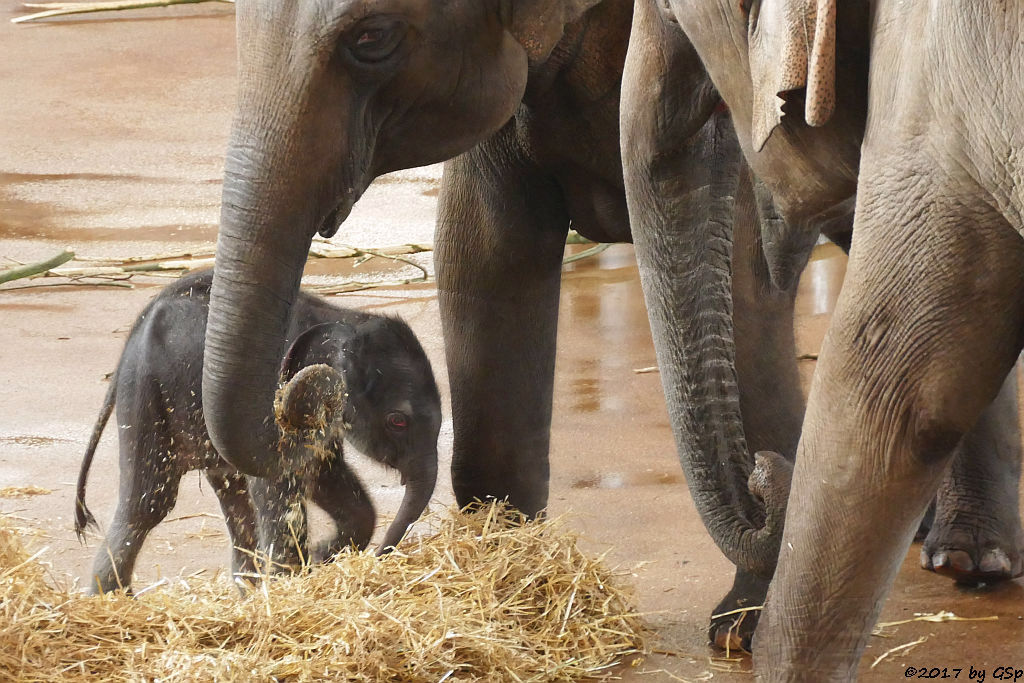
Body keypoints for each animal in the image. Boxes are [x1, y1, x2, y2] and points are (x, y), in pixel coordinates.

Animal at [72, 270, 440, 593]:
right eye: (397, 421)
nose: (380, 557)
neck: (346, 319)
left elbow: (323, 473)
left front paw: (317, 557)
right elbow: (281, 484)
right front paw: (295, 579)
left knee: (233, 497)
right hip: (144, 391)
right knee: (147, 502)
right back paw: (112, 598)